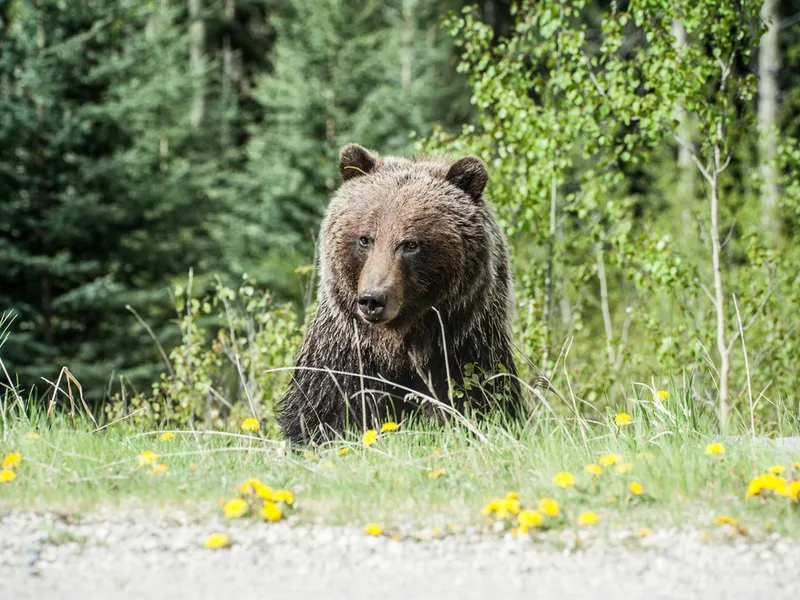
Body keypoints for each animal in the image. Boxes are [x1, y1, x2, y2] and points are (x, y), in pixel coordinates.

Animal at [278, 143, 520, 442]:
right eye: (365, 239)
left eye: (409, 244)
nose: (372, 299)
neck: (399, 344)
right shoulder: (344, 355)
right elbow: (321, 412)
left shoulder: (465, 349)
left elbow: (480, 400)